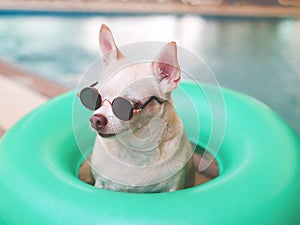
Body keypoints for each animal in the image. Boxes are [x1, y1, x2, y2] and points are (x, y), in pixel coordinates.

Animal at [78, 25, 195, 193]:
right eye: (95, 98)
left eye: (125, 105)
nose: (95, 119)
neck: (133, 149)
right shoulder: (101, 183)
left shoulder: (174, 186)